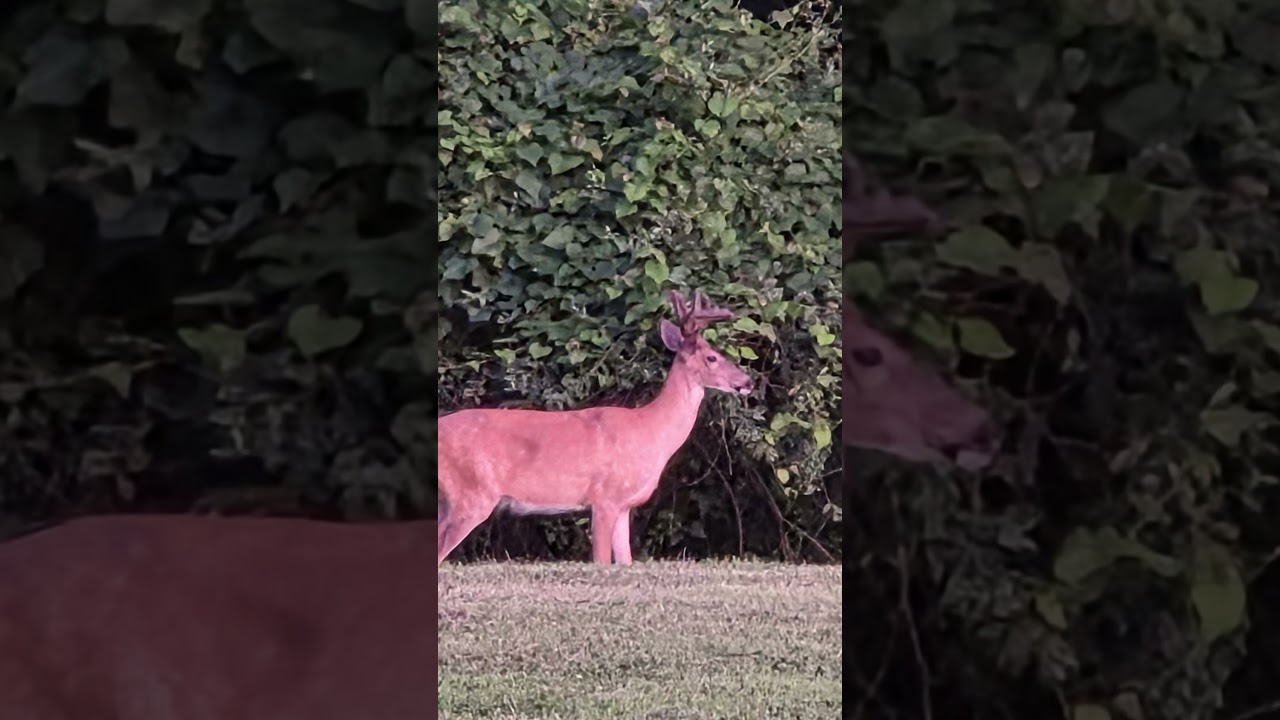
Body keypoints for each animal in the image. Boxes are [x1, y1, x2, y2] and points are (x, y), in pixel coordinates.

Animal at [437, 289, 754, 566]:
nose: (747, 382)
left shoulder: (624, 505)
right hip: (470, 493)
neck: (650, 430)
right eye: (712, 357)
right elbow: (601, 560)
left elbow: (625, 560)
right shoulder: (604, 498)